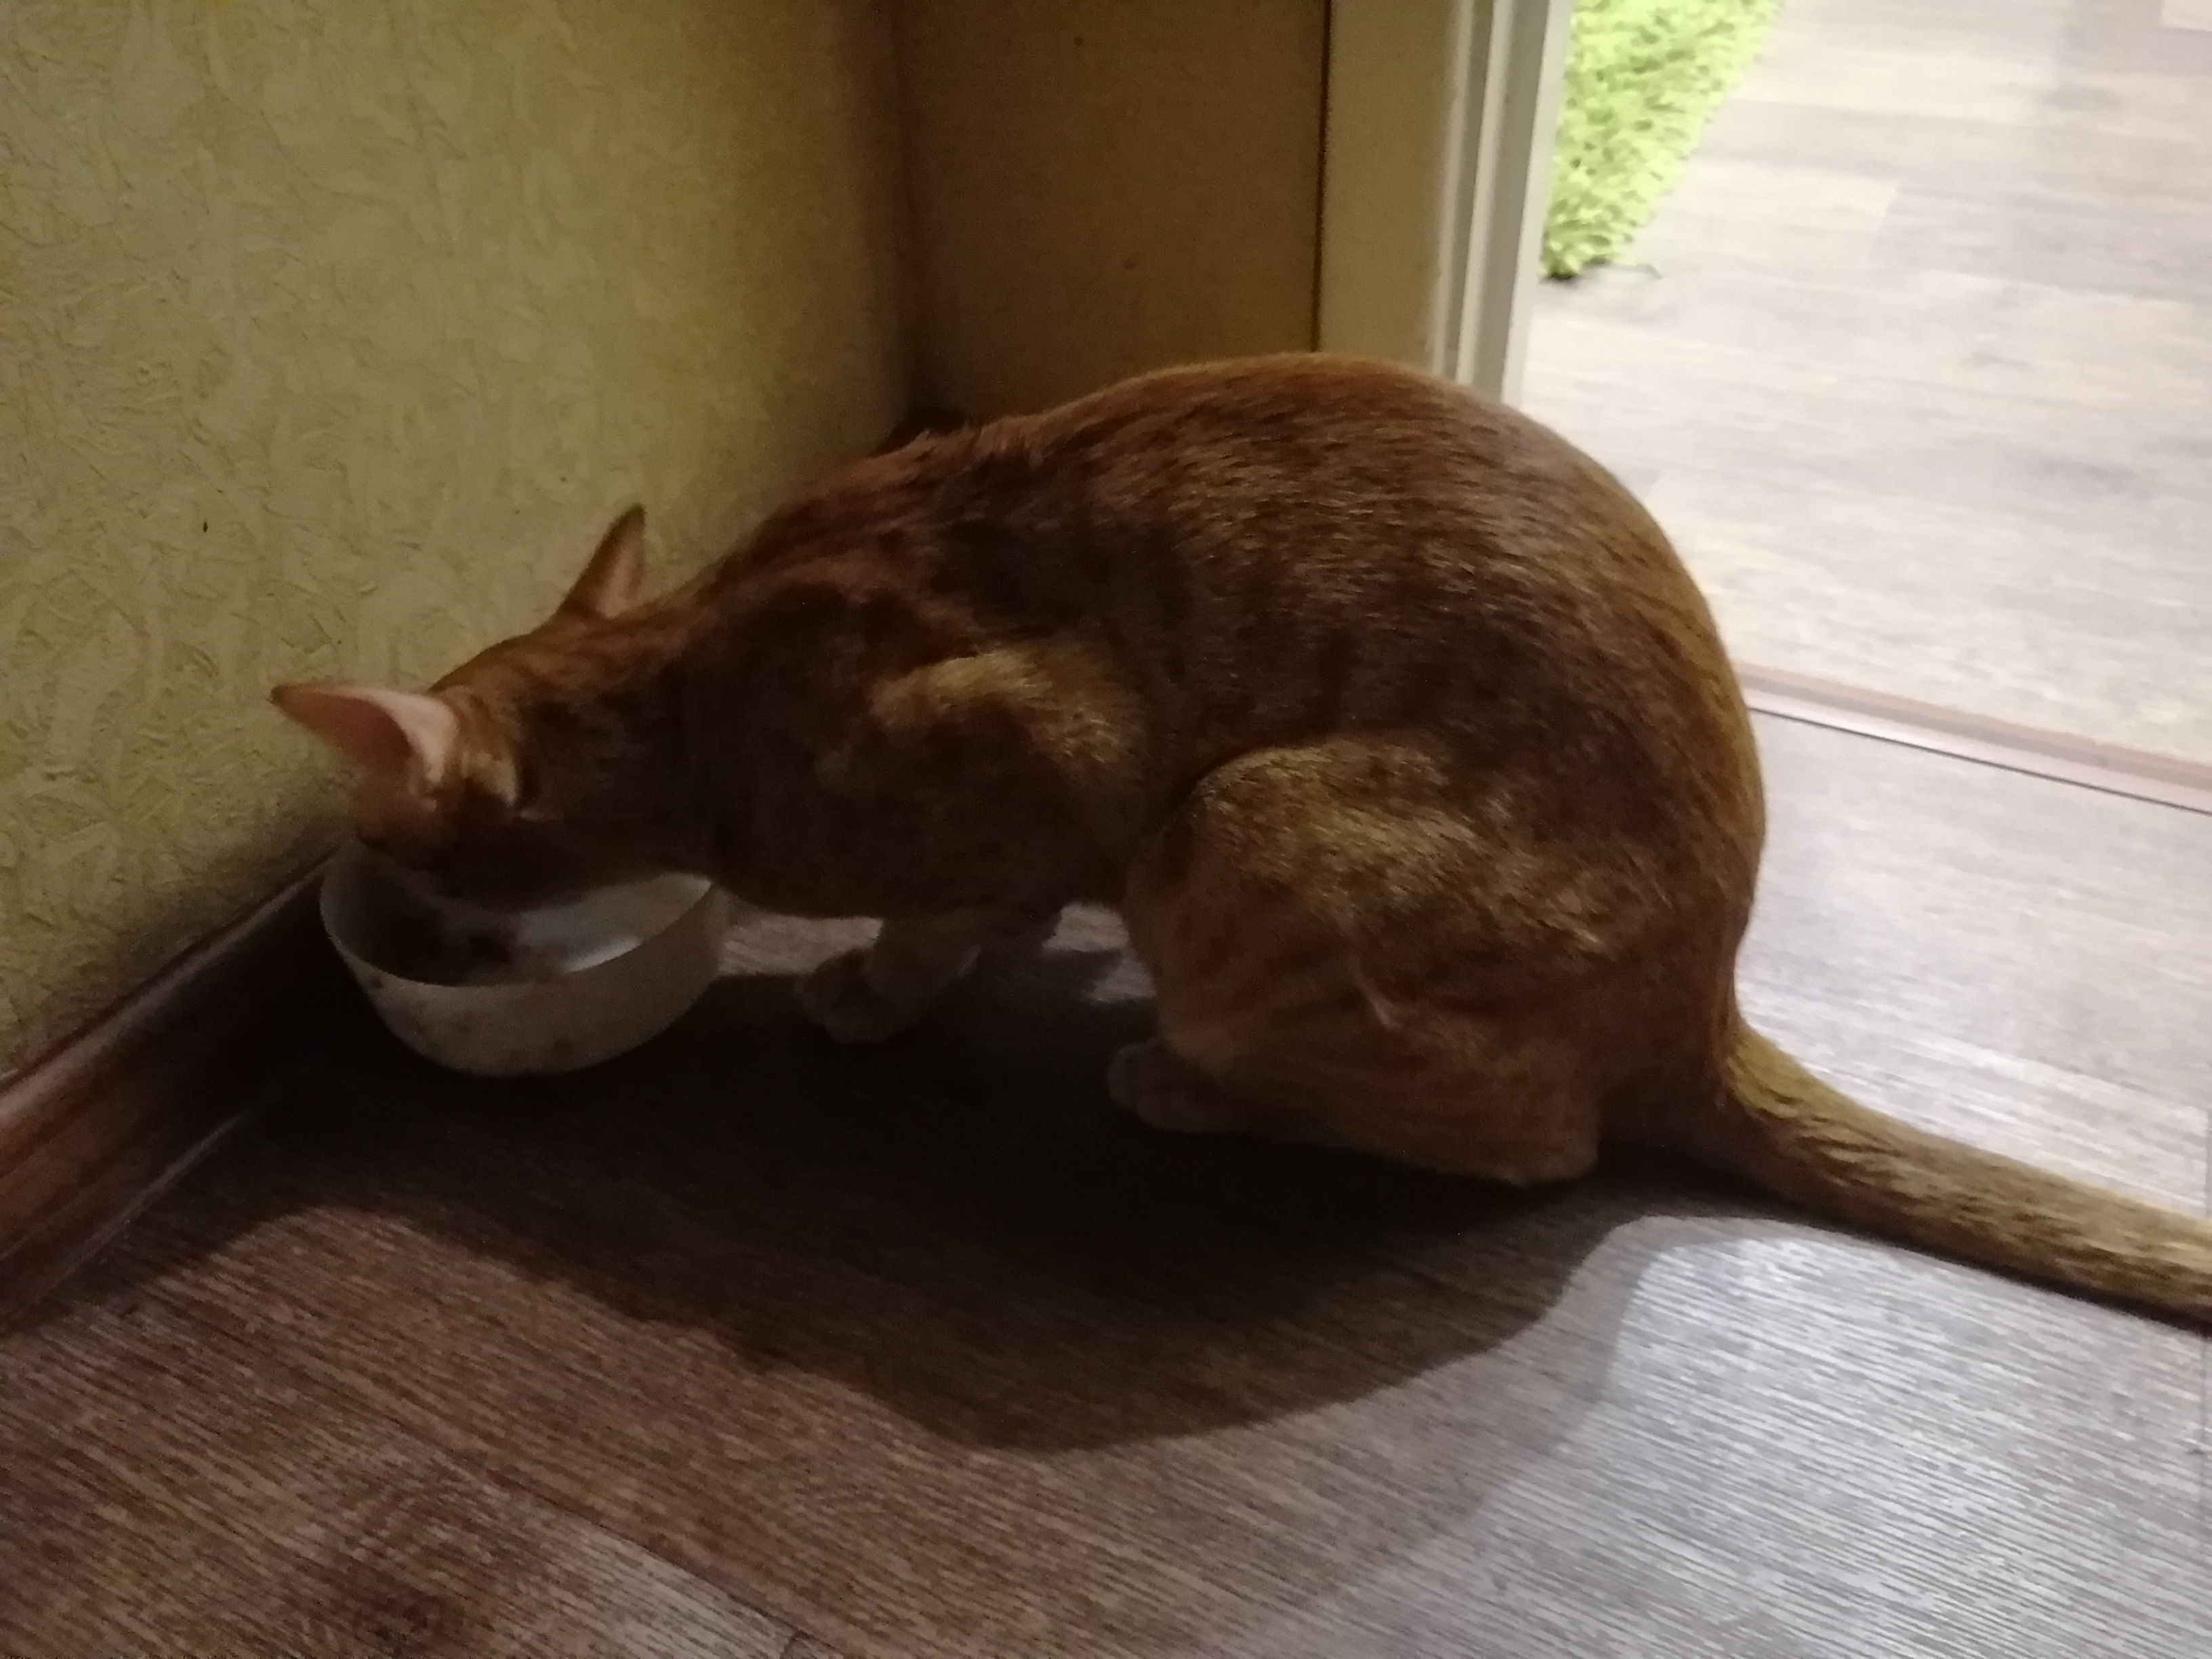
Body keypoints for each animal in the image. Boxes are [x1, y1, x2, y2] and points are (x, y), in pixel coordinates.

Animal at [274, 353, 2212, 1322]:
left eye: (429, 879)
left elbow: (943, 923)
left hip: (1241, 831)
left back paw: (1185, 1082)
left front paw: (869, 996)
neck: (692, 687)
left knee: (1535, 1143)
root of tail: (1707, 1002)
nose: (416, 927)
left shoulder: (1067, 758)